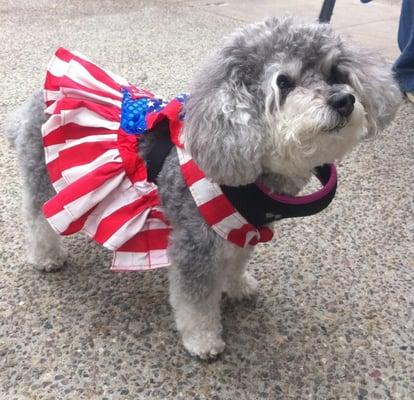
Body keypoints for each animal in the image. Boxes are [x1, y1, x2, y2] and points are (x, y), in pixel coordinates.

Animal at [5, 17, 402, 358]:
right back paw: (46, 257)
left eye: (335, 71)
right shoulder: (194, 244)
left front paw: (238, 287)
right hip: (42, 179)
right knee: (37, 219)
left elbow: (237, 264)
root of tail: (32, 102)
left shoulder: (241, 229)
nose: (343, 100)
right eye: (283, 83)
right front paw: (203, 340)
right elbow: (195, 302)